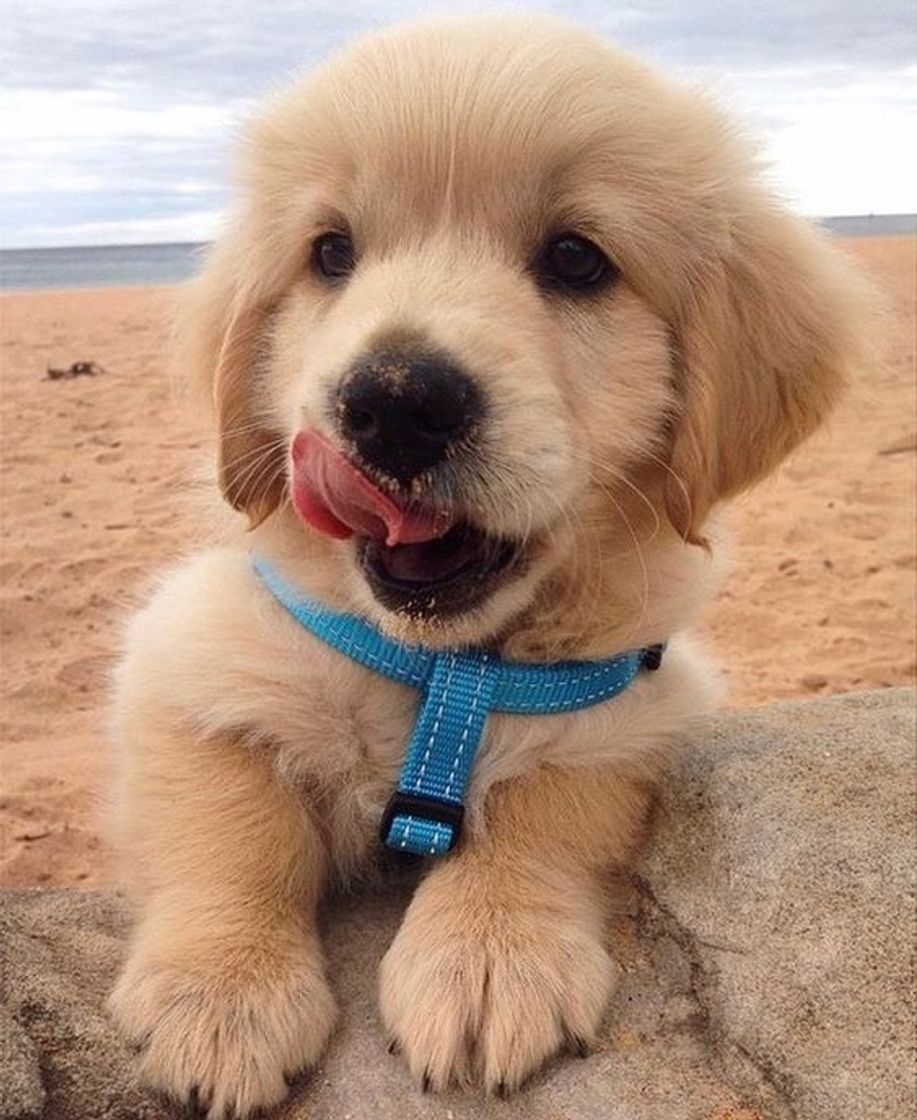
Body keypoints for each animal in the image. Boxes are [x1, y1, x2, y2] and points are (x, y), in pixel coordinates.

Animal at [105, 10, 868, 1120]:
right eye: (330, 252)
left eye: (576, 259)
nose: (392, 401)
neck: (440, 671)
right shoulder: (188, 653)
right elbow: (227, 820)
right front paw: (220, 990)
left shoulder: (632, 702)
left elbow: (544, 807)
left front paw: (489, 955)